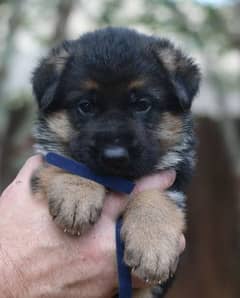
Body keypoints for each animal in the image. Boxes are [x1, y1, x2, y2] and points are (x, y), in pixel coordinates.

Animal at [31, 26, 201, 296]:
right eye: (85, 106)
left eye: (142, 104)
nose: (114, 156)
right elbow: (68, 163)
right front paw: (76, 194)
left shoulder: (174, 181)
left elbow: (155, 195)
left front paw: (153, 245)